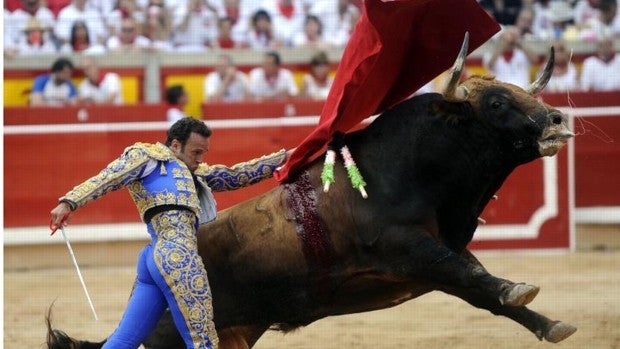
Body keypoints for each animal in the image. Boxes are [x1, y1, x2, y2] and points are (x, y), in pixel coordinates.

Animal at [48, 38, 576, 348]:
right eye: (498, 102)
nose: (557, 120)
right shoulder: (408, 247)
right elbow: (470, 273)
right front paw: (519, 288)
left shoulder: (433, 258)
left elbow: (479, 287)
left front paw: (550, 324)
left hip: (234, 334)